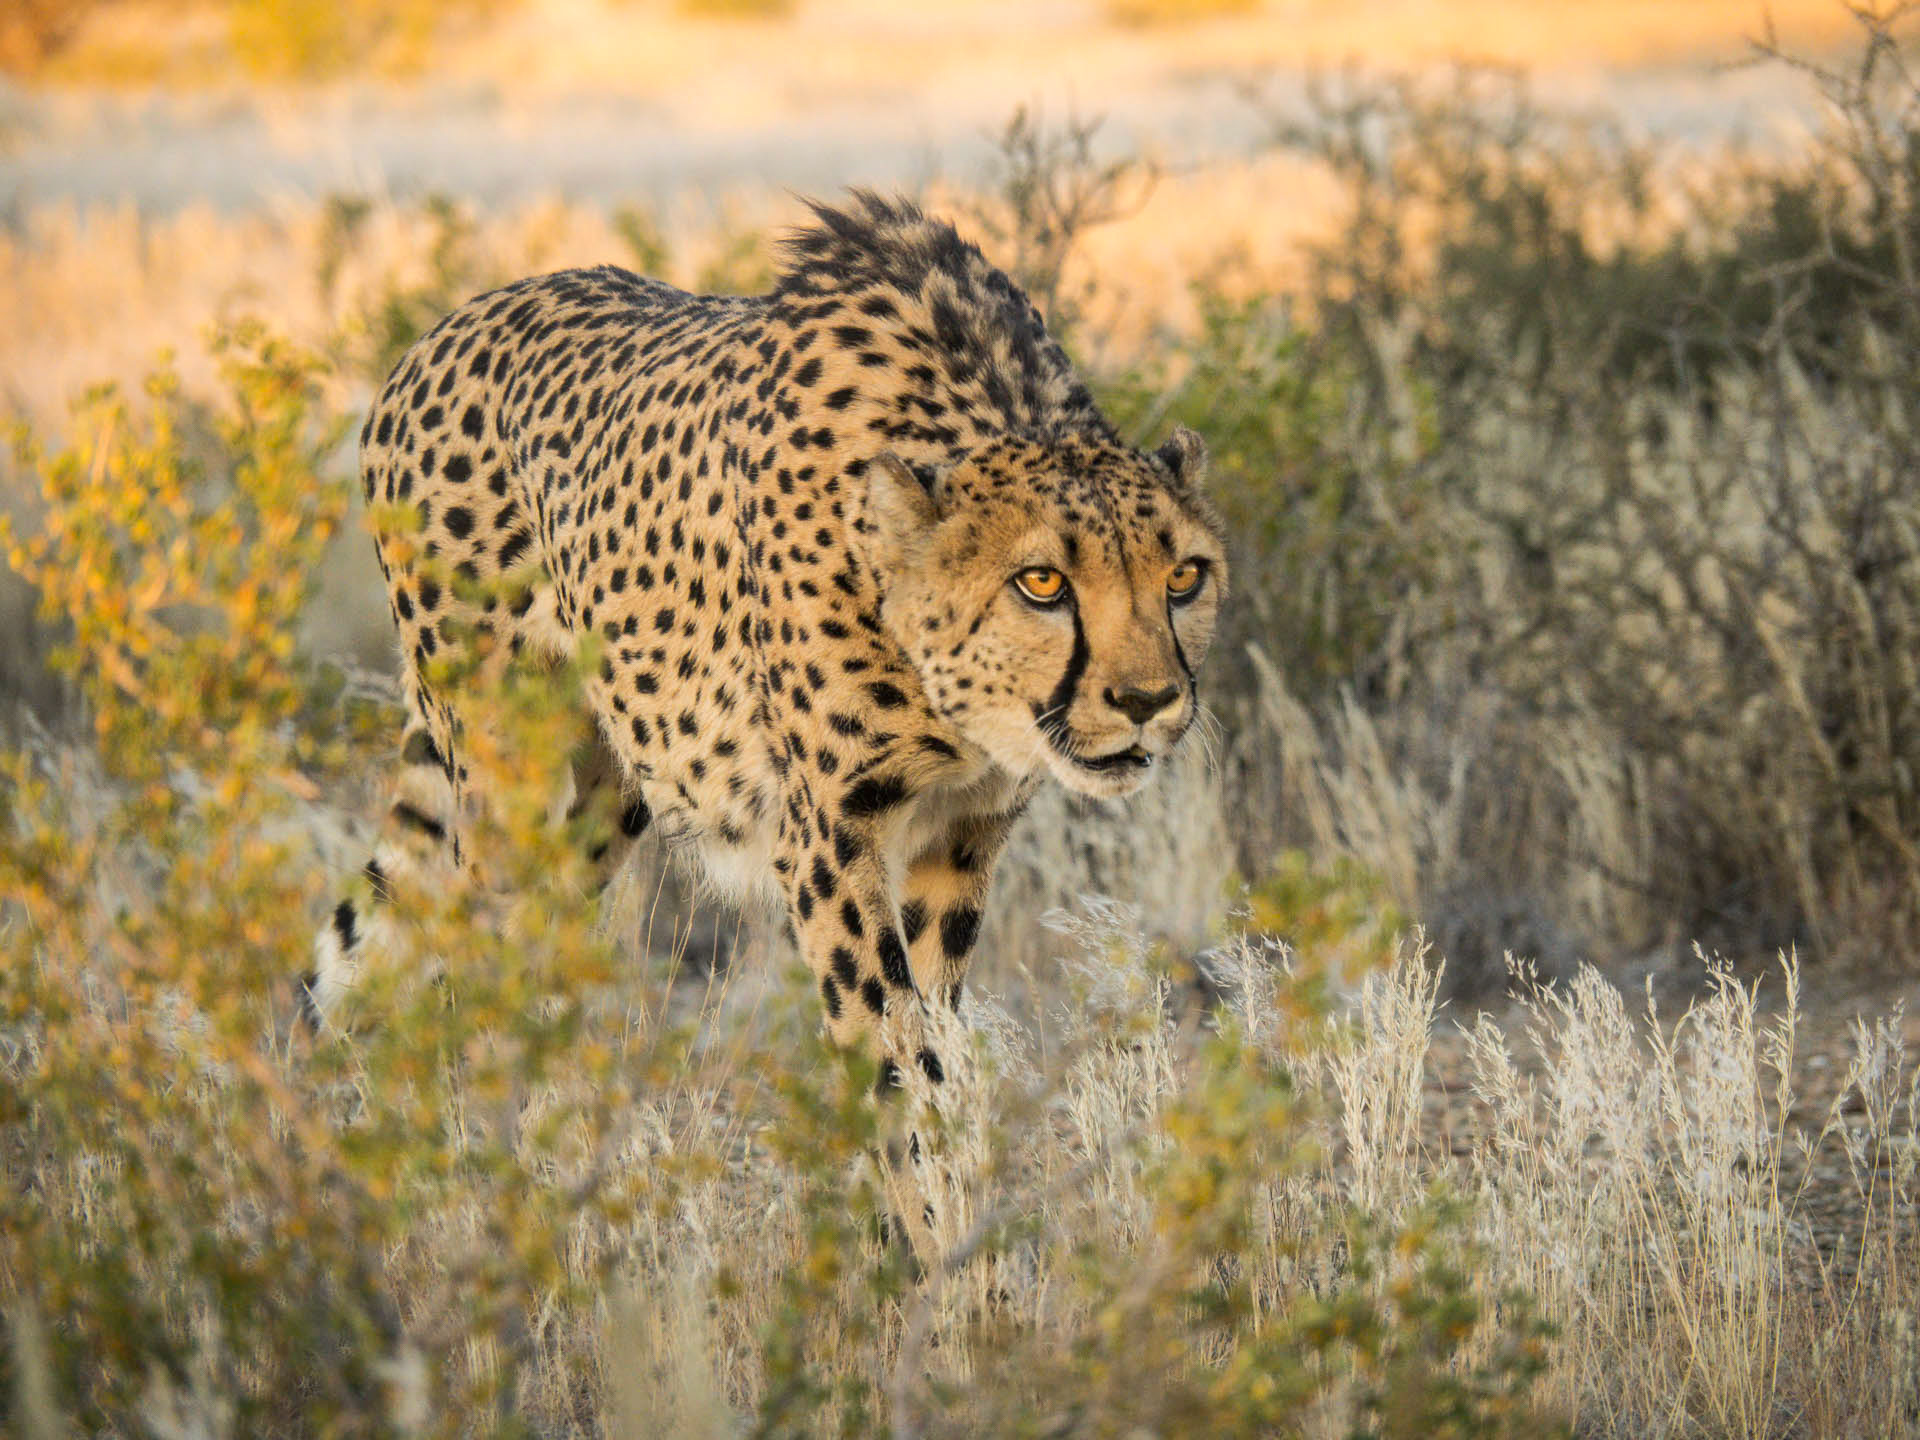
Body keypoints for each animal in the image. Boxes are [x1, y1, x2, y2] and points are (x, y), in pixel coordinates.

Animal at [307, 190, 1227, 1107]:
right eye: (1042, 583)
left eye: (1185, 577)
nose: (1147, 702)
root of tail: (439, 331)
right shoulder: (830, 837)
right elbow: (893, 1053)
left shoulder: (962, 832)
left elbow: (939, 1038)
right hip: (506, 774)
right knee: (482, 941)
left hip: (609, 785)